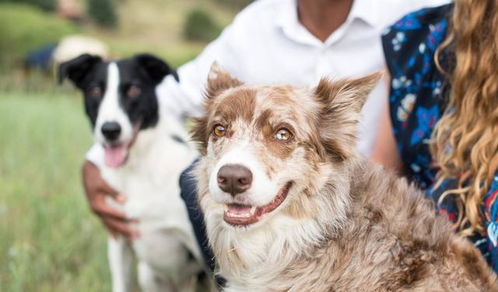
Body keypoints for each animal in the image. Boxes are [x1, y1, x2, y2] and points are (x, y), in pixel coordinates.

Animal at [59, 54, 202, 292]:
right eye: (95, 90)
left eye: (134, 89)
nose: (110, 130)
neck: (137, 166)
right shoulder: (119, 238)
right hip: (149, 276)